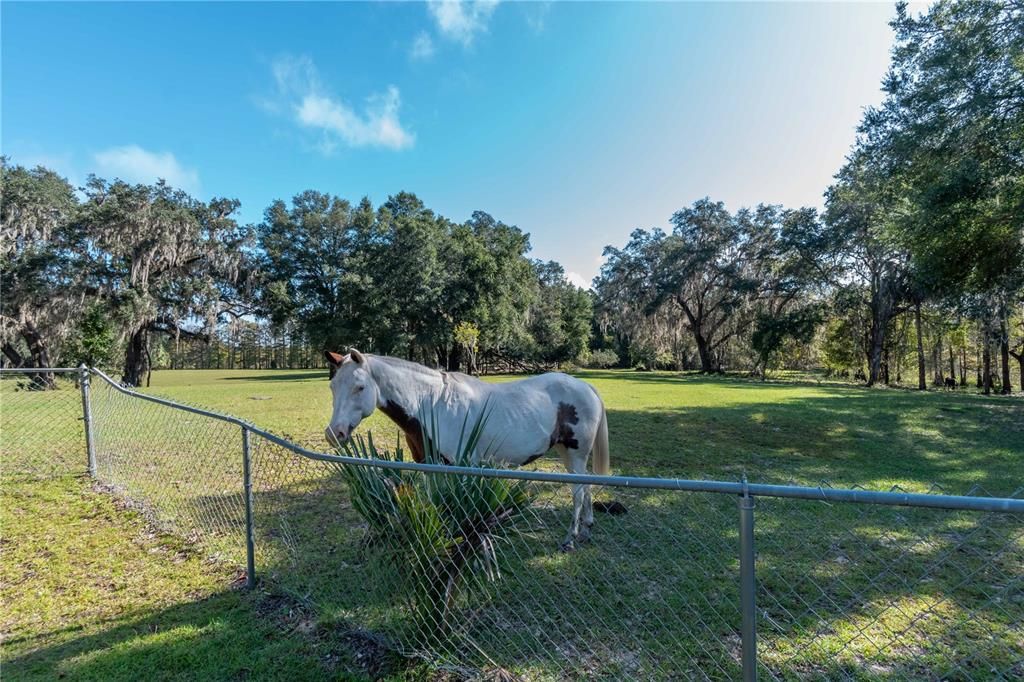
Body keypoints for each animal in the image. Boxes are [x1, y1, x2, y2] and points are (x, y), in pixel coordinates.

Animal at [321, 350, 606, 548]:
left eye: (359, 387)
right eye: (332, 386)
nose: (334, 433)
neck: (431, 404)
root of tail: (585, 386)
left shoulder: (461, 466)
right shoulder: (430, 467)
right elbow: (436, 504)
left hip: (576, 454)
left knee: (578, 493)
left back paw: (570, 539)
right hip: (566, 453)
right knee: (585, 487)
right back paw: (587, 530)